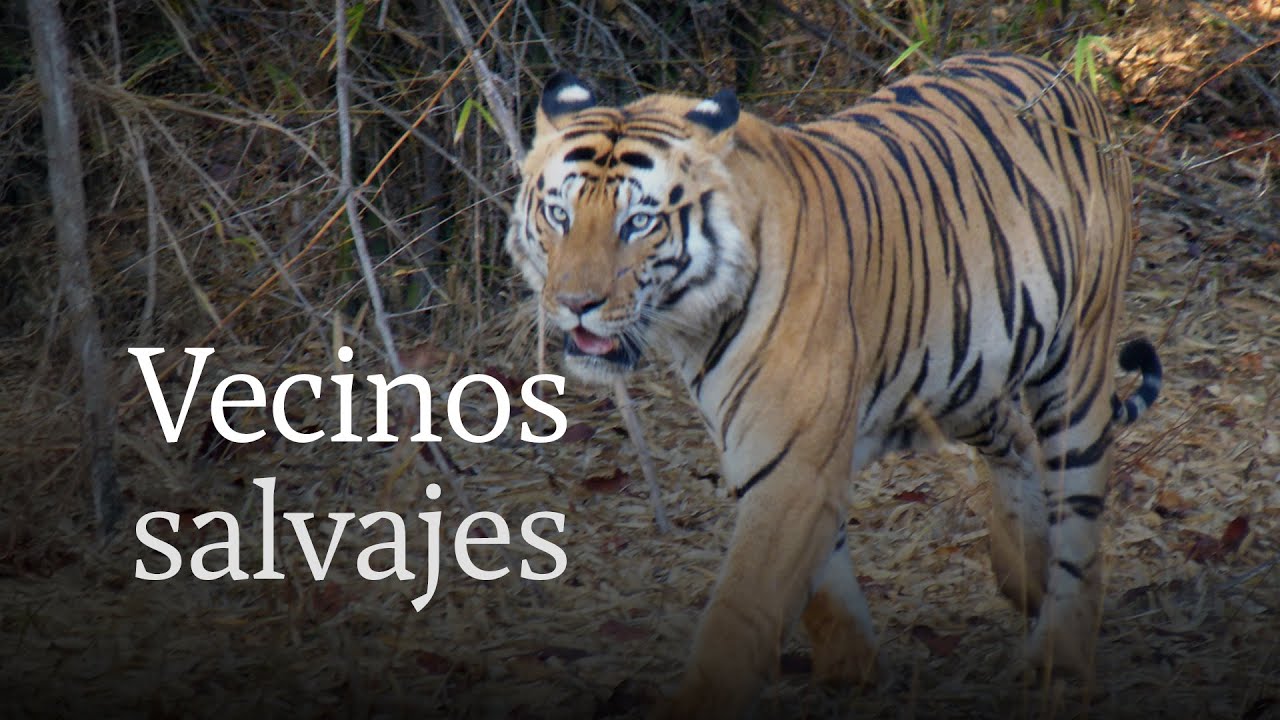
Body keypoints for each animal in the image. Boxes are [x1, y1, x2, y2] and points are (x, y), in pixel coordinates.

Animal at [505, 51, 1163, 718]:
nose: (574, 304)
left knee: (1078, 515)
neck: (694, 325)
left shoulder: (791, 465)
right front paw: (855, 671)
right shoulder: (782, 459)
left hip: (1076, 362)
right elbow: (823, 587)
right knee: (1015, 443)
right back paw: (1024, 572)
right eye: (559, 214)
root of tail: (1064, 76)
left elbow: (742, 612)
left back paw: (1060, 654)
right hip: (961, 371)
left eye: (638, 223)